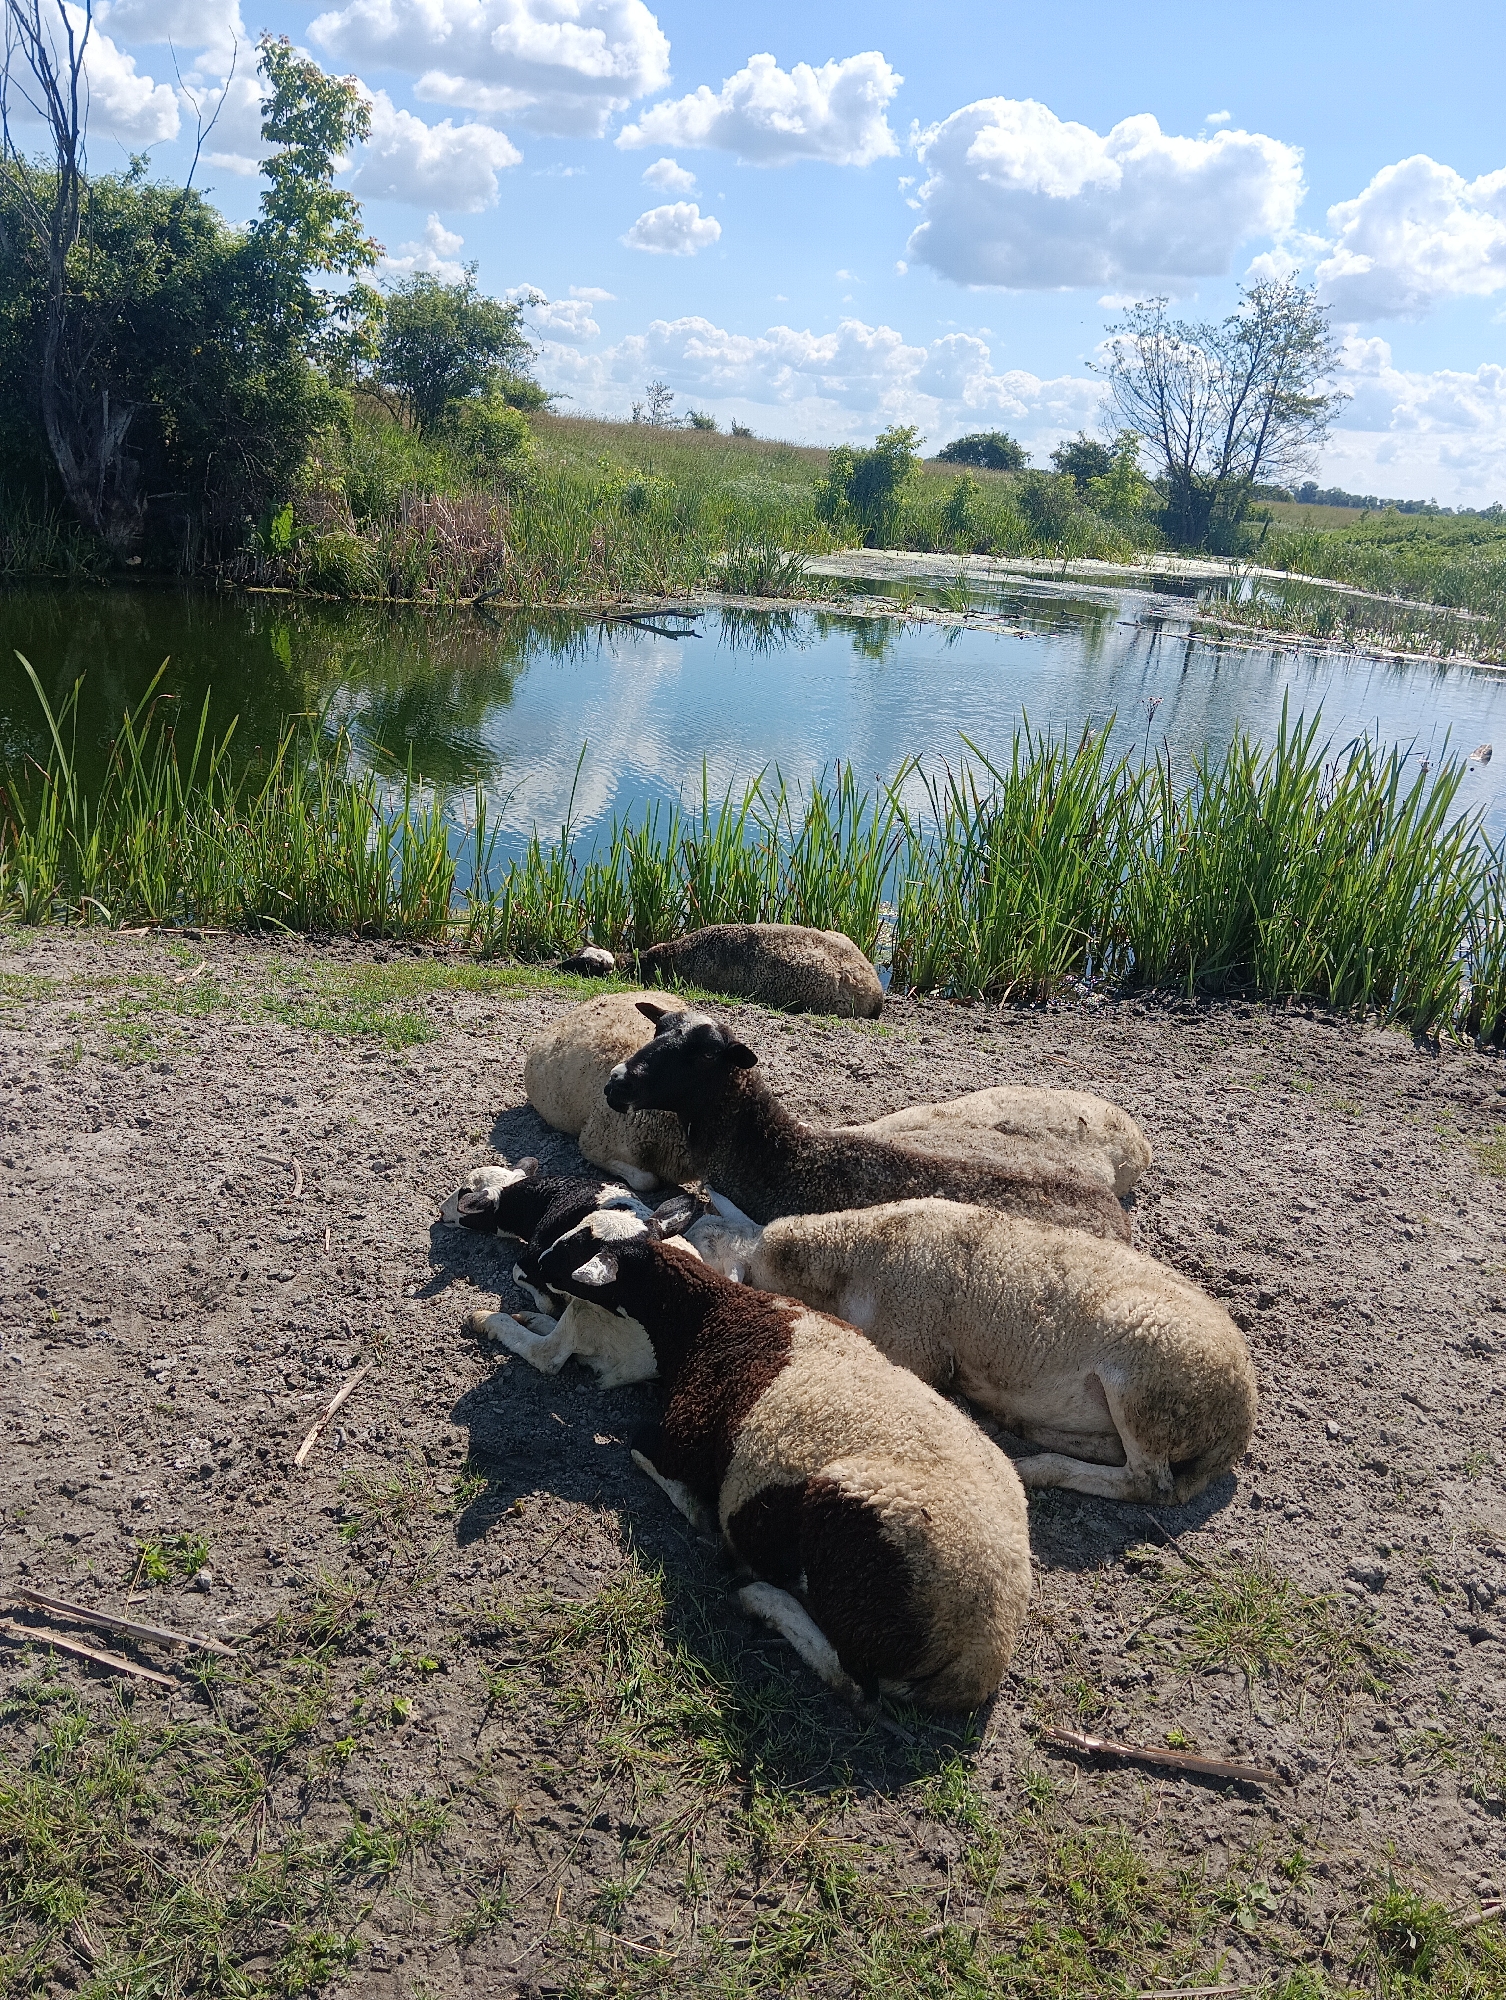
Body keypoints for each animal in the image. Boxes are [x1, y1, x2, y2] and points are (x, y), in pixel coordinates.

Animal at [486, 1205, 1031, 1712]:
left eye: (573, 1248)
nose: (530, 1261)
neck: (710, 1317)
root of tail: (978, 1654)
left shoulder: (681, 1436)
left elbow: (642, 1449)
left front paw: (705, 1517)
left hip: (860, 1568)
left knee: (853, 1683)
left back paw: (761, 1598)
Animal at [685, 1197, 1257, 1506]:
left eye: (706, 1251)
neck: (859, 1250)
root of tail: (1242, 1413)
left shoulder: (916, 1348)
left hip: (1149, 1381)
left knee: (1148, 1484)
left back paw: (1039, 1467)